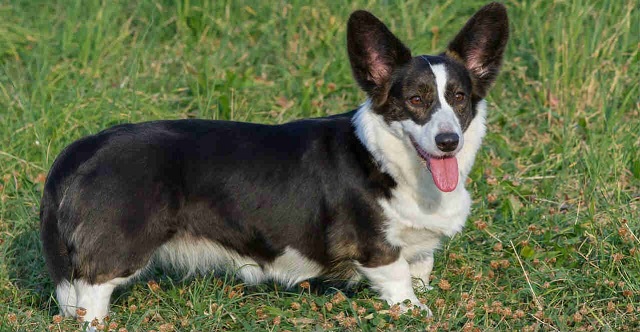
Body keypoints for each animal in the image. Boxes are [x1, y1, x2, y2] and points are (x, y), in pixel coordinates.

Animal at [41, 1, 510, 322]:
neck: (389, 162)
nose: (448, 142)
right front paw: (418, 315)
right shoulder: (378, 250)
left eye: (459, 98)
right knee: (91, 298)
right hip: (115, 255)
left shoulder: (419, 249)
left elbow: (420, 273)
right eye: (415, 99)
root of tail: (84, 148)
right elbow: (401, 289)